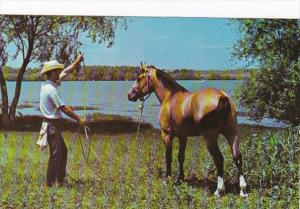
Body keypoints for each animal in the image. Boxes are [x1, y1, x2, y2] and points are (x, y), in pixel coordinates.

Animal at [127, 63, 247, 198]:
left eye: (139, 78)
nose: (130, 95)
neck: (170, 96)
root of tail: (223, 97)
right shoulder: (182, 137)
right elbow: (181, 157)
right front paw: (180, 178)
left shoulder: (167, 135)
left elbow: (169, 156)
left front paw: (168, 178)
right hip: (232, 133)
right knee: (237, 156)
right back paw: (243, 190)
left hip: (210, 138)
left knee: (219, 159)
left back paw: (219, 190)